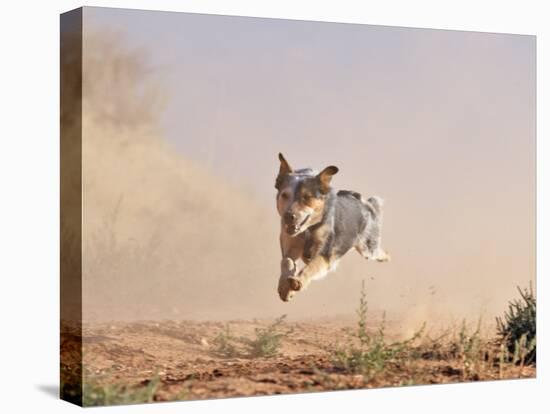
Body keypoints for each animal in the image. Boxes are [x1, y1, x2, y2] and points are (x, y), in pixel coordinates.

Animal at [274, 152, 388, 300]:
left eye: (307, 197)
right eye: (284, 195)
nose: (288, 216)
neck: (309, 230)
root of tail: (362, 201)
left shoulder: (325, 252)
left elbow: (312, 266)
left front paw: (297, 281)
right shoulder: (291, 243)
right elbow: (286, 261)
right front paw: (284, 288)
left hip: (368, 249)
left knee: (381, 253)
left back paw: (386, 257)